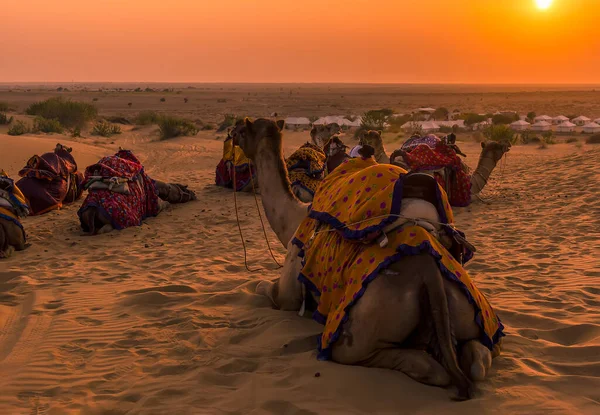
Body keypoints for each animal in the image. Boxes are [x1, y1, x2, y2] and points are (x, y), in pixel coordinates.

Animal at [234, 118, 502, 404]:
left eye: (243, 130)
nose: (232, 132)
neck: (293, 219)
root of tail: (431, 276)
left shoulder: (289, 291)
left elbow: (263, 287)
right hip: (470, 310)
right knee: (478, 359)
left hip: (366, 323)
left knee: (411, 365)